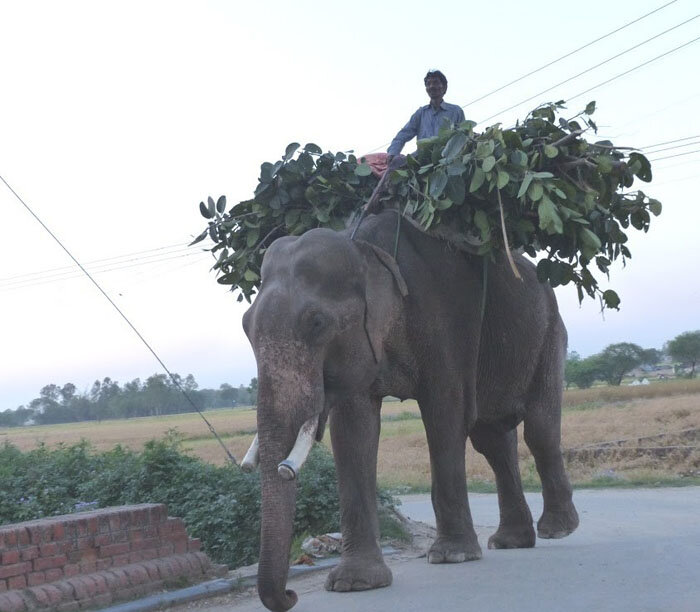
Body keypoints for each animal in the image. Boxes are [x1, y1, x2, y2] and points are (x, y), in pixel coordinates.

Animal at [241, 208, 580, 608]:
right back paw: (511, 542)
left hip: (551, 332)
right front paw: (354, 583)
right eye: (245, 326)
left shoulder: (446, 322)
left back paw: (557, 530)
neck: (367, 251)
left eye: (317, 323)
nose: (291, 595)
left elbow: (444, 412)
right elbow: (354, 430)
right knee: (492, 441)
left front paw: (452, 556)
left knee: (538, 428)